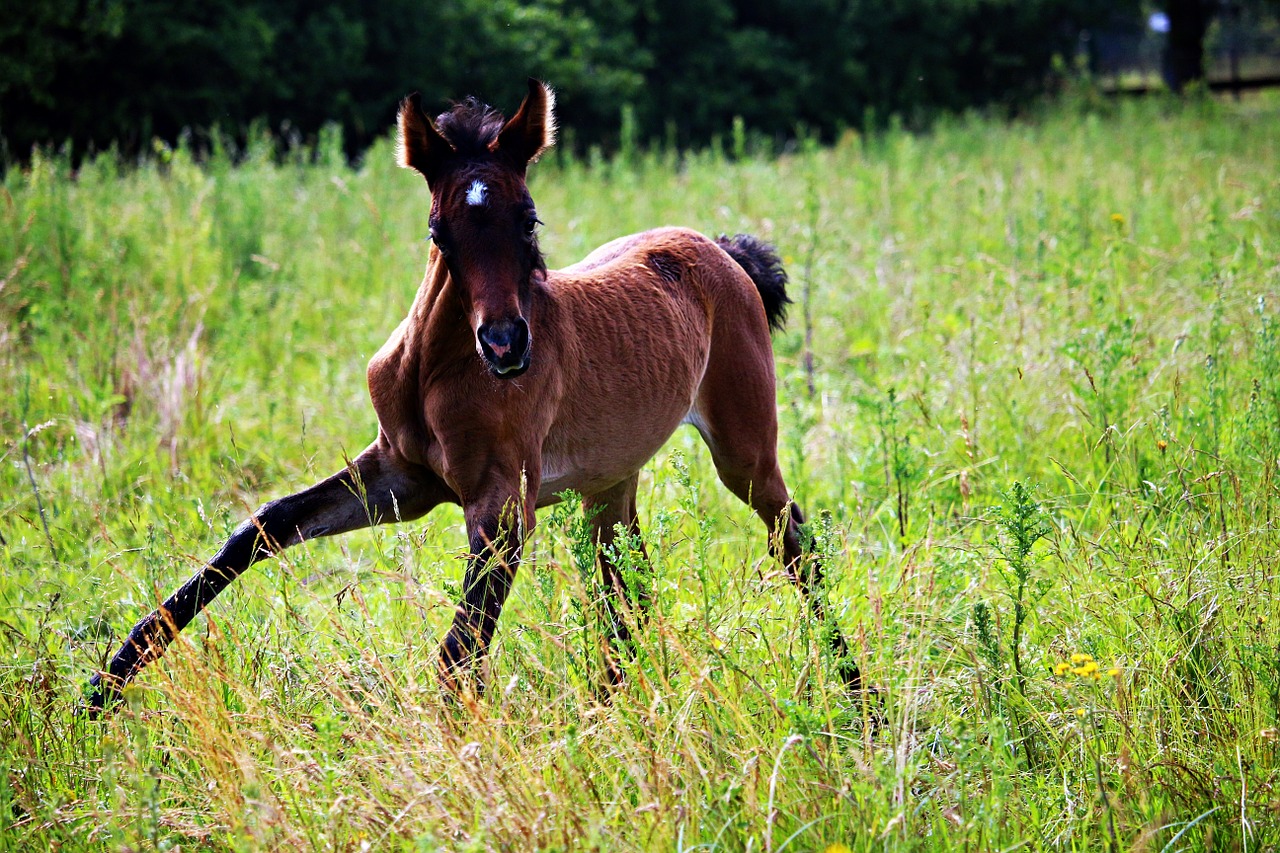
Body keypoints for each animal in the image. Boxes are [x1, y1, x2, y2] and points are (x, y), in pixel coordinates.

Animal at [90, 78, 860, 712]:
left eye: (528, 219)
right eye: (440, 230)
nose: (507, 345)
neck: (435, 373)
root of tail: (721, 250)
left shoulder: (502, 502)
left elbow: (458, 654)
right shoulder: (399, 478)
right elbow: (261, 528)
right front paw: (103, 688)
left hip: (745, 449)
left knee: (796, 547)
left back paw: (859, 701)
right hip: (609, 482)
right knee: (628, 591)